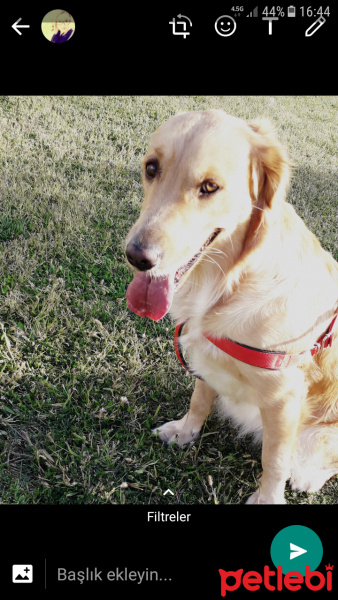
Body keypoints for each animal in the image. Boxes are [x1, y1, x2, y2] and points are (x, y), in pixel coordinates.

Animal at [124, 110, 338, 504]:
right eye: (151, 167)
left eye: (210, 187)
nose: (137, 257)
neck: (229, 281)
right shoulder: (204, 354)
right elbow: (199, 397)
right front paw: (186, 431)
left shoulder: (284, 397)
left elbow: (275, 459)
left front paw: (267, 499)